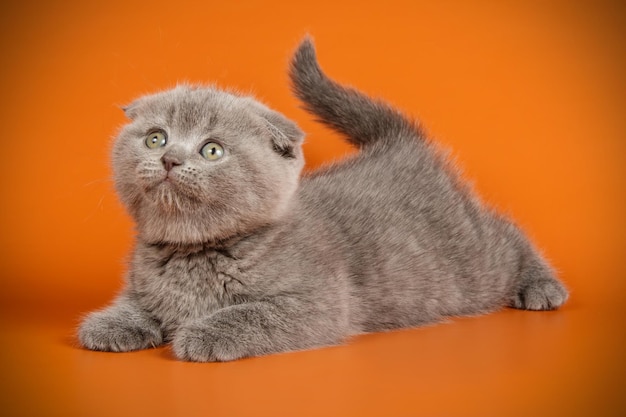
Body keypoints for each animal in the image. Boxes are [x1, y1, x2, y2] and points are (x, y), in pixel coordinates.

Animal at [77, 37, 564, 360]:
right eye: (156, 138)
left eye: (212, 150)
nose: (170, 159)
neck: (193, 252)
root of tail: (399, 145)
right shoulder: (142, 284)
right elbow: (137, 304)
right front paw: (111, 323)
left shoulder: (319, 305)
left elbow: (253, 313)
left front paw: (202, 333)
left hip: (473, 264)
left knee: (507, 235)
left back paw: (542, 285)